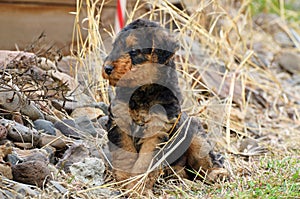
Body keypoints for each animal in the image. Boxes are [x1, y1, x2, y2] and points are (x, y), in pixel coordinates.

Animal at [102, 18, 227, 193]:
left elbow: (145, 163)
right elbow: (125, 155)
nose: (107, 68)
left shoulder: (156, 131)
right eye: (115, 46)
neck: (142, 92)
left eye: (134, 50)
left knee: (207, 161)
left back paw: (217, 174)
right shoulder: (120, 123)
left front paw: (138, 188)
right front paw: (125, 181)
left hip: (196, 138)